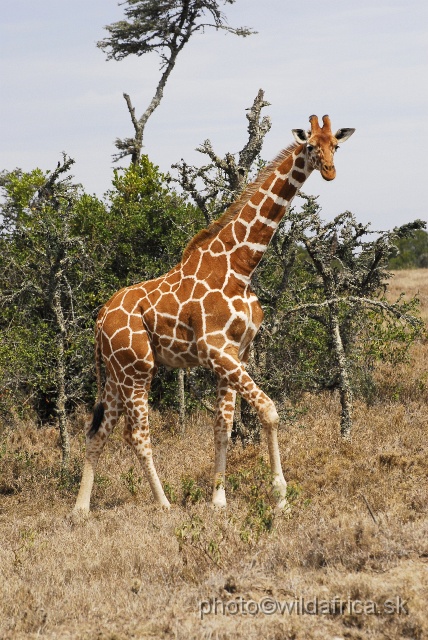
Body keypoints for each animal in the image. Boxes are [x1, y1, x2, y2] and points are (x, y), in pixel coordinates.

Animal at [72, 115, 354, 516]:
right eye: (312, 146)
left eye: (336, 146)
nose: (329, 171)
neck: (241, 266)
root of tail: (98, 321)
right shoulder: (216, 349)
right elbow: (269, 411)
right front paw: (280, 497)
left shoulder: (237, 352)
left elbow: (223, 425)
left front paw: (218, 500)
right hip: (137, 368)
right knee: (136, 433)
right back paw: (164, 504)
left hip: (115, 372)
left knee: (98, 430)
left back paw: (80, 509)